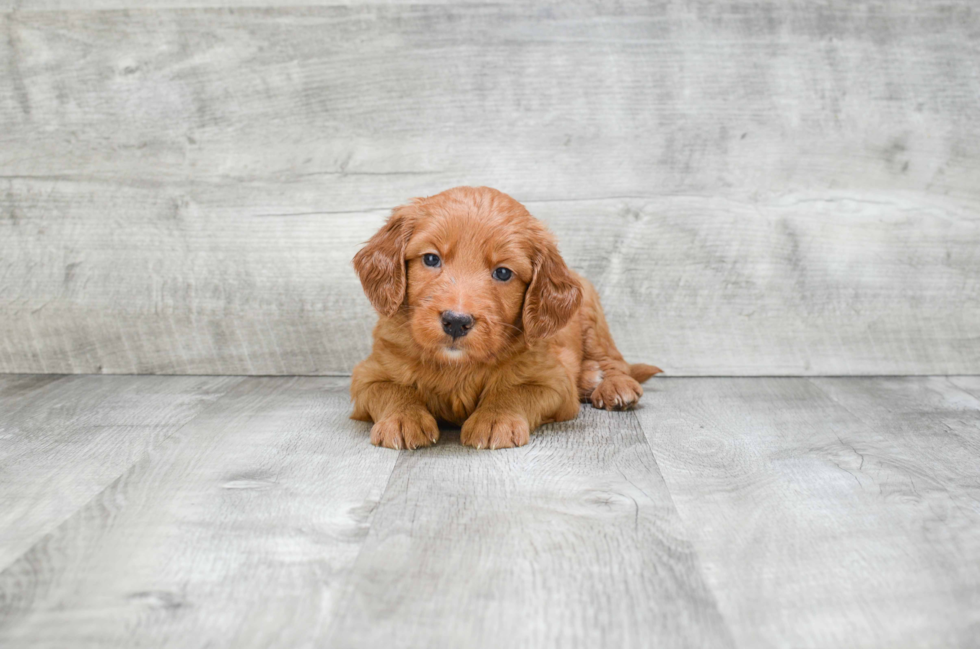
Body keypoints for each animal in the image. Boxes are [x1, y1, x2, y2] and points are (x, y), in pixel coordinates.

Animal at [348, 185, 664, 448]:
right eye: (430, 259)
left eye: (502, 273)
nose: (456, 321)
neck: (457, 367)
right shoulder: (367, 374)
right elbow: (391, 388)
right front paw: (403, 418)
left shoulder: (553, 382)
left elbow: (514, 391)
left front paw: (494, 419)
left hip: (590, 312)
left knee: (614, 359)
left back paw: (611, 384)